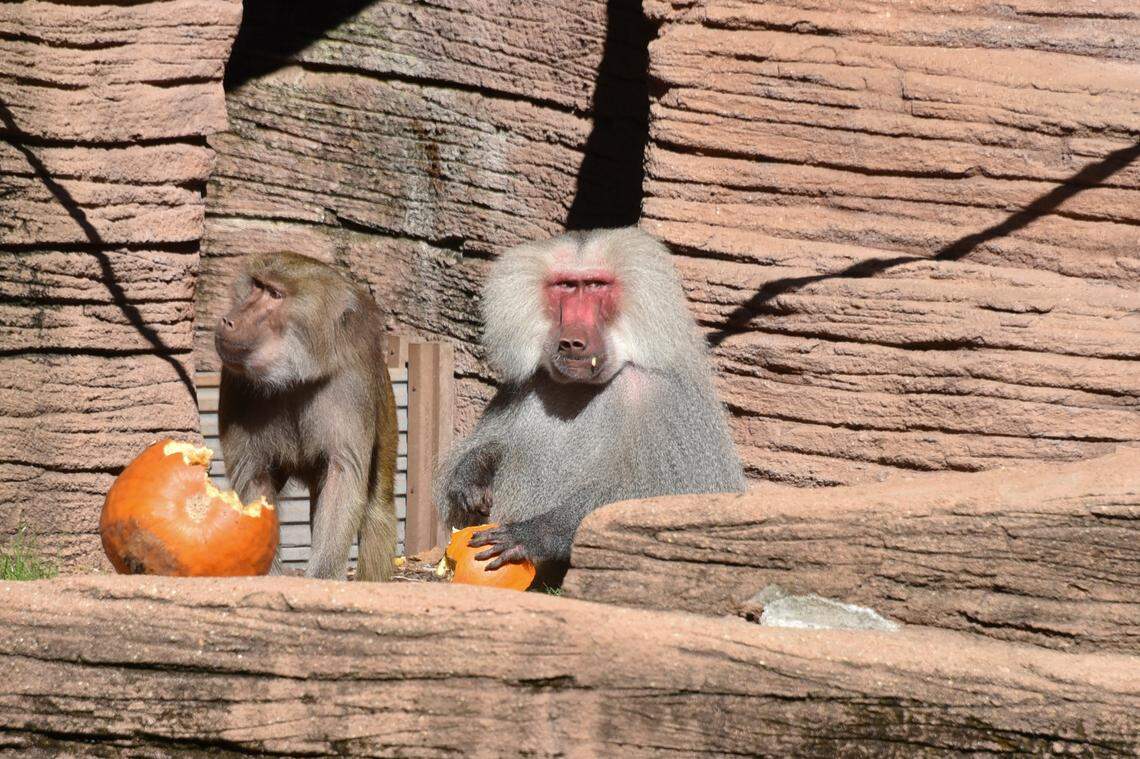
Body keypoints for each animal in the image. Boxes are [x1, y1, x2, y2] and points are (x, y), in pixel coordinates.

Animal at [215, 252, 398, 581]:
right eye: (256, 286)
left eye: (275, 294)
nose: (228, 320)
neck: (293, 376)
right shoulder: (235, 380)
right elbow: (253, 477)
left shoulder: (350, 383)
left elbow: (343, 473)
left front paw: (322, 577)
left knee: (378, 509)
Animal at [435, 227, 746, 580]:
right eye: (566, 286)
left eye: (596, 285)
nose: (572, 342)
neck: (581, 387)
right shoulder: (524, 387)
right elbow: (490, 454)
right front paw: (471, 473)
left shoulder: (667, 401)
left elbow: (670, 507)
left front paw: (533, 535)